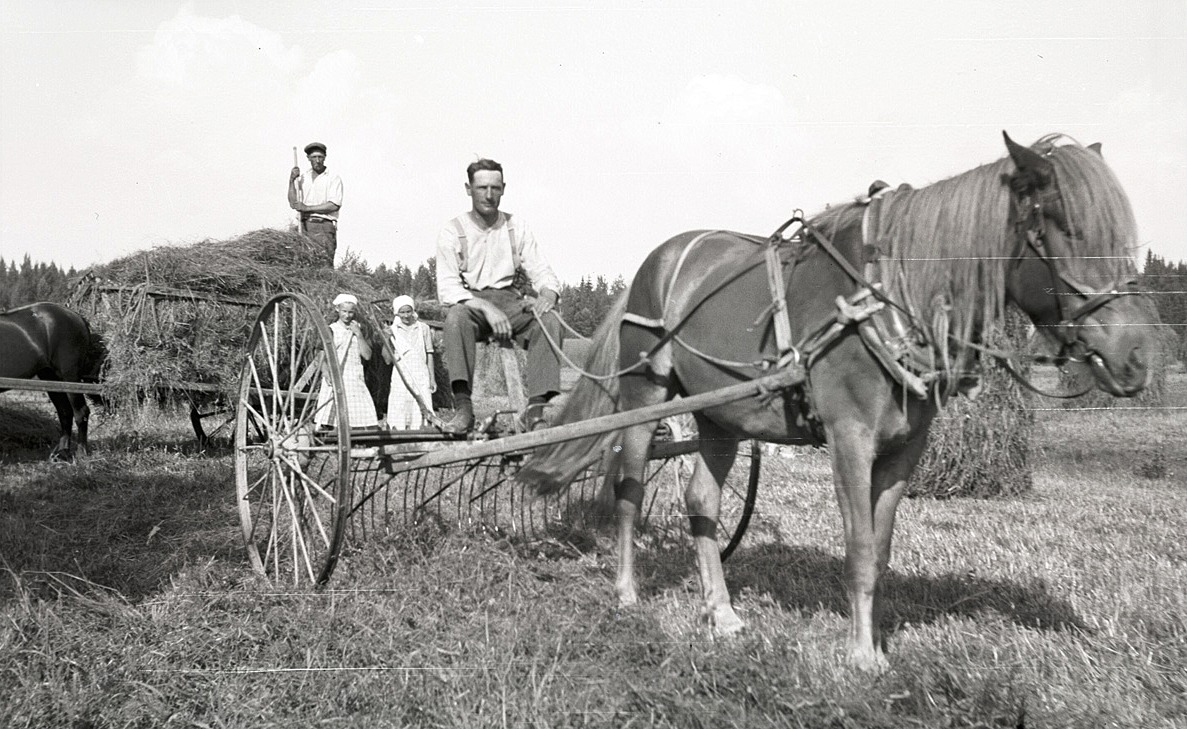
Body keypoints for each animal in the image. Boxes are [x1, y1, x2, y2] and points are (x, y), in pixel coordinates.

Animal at [0, 300, 100, 460]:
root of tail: (77, 317)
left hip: (69, 377)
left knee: (80, 412)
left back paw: (81, 453)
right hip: (51, 378)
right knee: (65, 412)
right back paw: (62, 452)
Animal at [522, 132, 1158, 674]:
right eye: (1067, 228)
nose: (1137, 353)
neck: (890, 297)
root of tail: (654, 264)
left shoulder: (905, 449)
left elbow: (880, 550)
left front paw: (873, 643)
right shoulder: (849, 436)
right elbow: (857, 548)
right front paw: (860, 657)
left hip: (718, 413)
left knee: (701, 500)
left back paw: (722, 614)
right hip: (644, 394)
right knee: (628, 491)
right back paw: (628, 592)